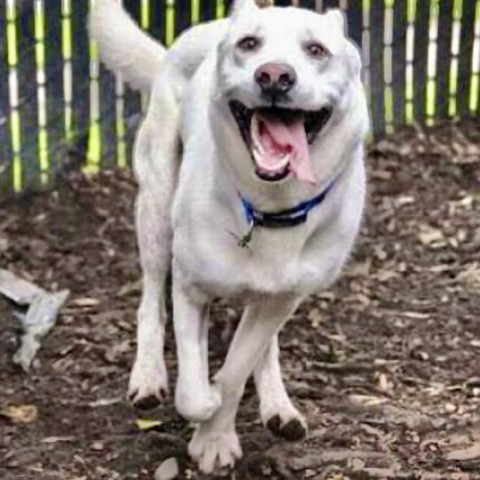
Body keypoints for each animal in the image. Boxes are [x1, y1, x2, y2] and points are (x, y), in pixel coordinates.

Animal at [90, 0, 370, 472]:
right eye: (249, 44)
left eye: (316, 49)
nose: (274, 75)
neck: (270, 208)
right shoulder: (189, 288)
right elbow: (192, 390)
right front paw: (207, 409)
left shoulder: (283, 298)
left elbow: (239, 368)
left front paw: (216, 434)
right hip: (156, 204)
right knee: (150, 300)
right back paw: (148, 376)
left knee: (264, 347)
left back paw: (277, 405)